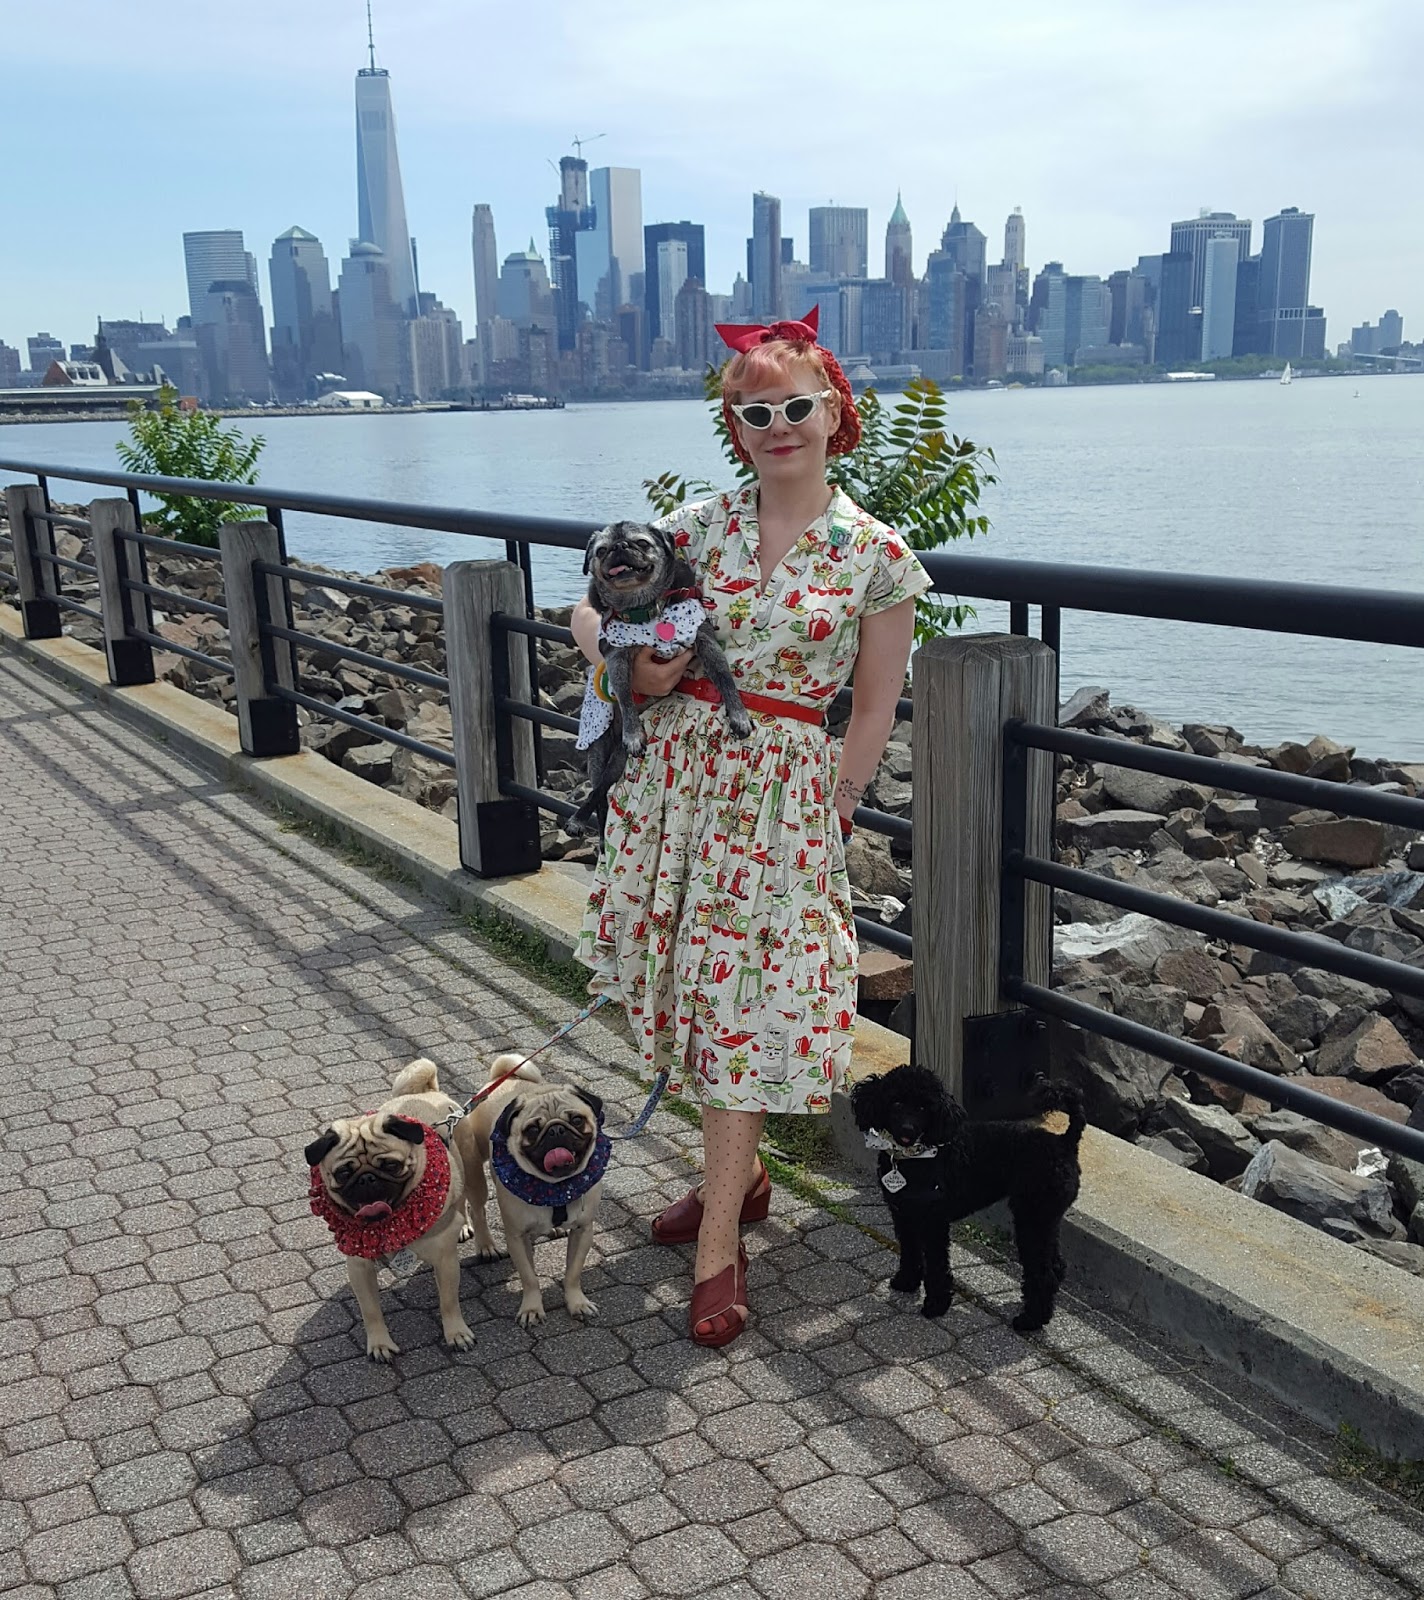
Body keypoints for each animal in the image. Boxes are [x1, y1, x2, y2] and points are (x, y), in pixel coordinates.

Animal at [305, 1058, 479, 1362]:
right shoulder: (359, 1266)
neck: (388, 1222)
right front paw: (380, 1344)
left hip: (469, 1169)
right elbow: (370, 1310)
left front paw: (456, 1333)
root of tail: (428, 1092)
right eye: (343, 1173)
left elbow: (448, 1302)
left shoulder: (445, 1260)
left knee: (470, 1204)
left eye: (391, 1166)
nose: (366, 1178)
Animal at [467, 1054, 609, 1326]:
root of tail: (504, 1077)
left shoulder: (583, 1230)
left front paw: (577, 1302)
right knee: (476, 1209)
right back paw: (485, 1245)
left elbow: (573, 1272)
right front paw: (531, 1309)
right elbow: (530, 1278)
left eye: (577, 1120)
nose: (556, 1129)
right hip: (473, 1169)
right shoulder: (517, 1237)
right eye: (533, 1129)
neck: (555, 1186)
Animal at [566, 519, 750, 837]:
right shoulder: (617, 658)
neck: (645, 608)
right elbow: (625, 696)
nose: (619, 547)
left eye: (641, 543)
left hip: (617, 760)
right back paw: (579, 818)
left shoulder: (704, 640)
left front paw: (738, 714)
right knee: (597, 793)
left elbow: (725, 677)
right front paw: (632, 732)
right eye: (601, 551)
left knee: (604, 787)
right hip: (597, 752)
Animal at [849, 1065, 1084, 1331]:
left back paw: (1031, 1319)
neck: (916, 1157)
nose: (908, 1129)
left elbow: (937, 1266)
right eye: (896, 1102)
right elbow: (909, 1252)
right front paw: (906, 1282)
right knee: (1055, 1265)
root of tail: (1065, 1141)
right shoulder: (904, 1216)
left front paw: (936, 1305)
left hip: (1032, 1217)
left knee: (1044, 1273)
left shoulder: (933, 1223)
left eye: (923, 1108)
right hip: (1045, 1218)